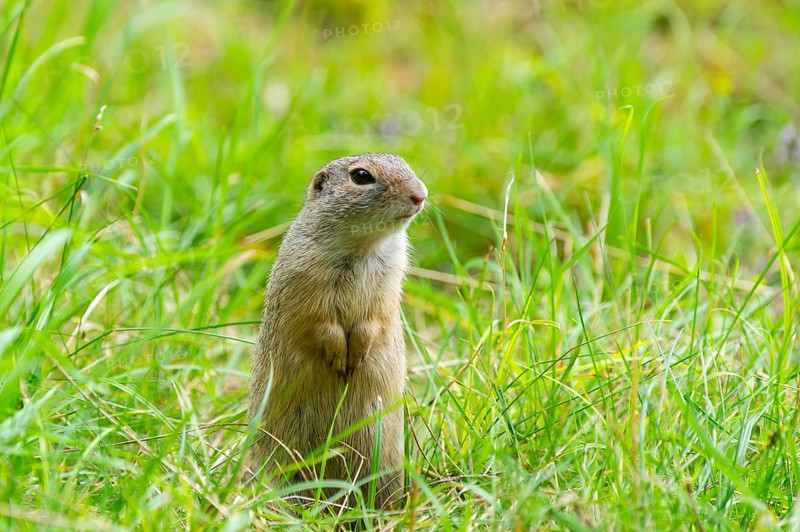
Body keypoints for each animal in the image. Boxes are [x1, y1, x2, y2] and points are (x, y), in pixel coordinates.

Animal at [247, 153, 427, 509]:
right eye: (361, 176)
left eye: (406, 163)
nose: (420, 195)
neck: (363, 247)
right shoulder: (307, 283)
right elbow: (320, 323)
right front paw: (339, 357)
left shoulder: (387, 288)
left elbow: (374, 319)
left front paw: (355, 354)